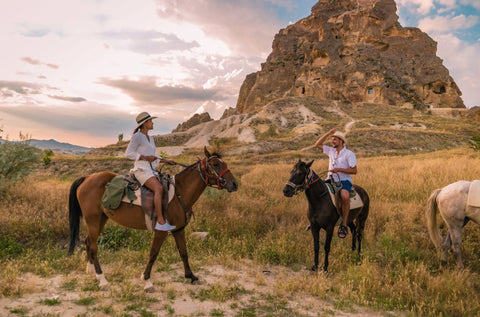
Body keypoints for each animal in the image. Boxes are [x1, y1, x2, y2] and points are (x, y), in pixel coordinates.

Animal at [68, 147, 238, 290]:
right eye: (215, 164)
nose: (234, 184)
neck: (179, 194)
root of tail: (87, 177)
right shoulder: (161, 231)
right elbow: (154, 253)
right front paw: (147, 280)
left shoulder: (178, 230)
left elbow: (183, 252)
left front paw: (191, 276)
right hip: (93, 219)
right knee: (94, 247)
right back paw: (102, 279)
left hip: (101, 219)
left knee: (88, 242)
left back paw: (91, 271)